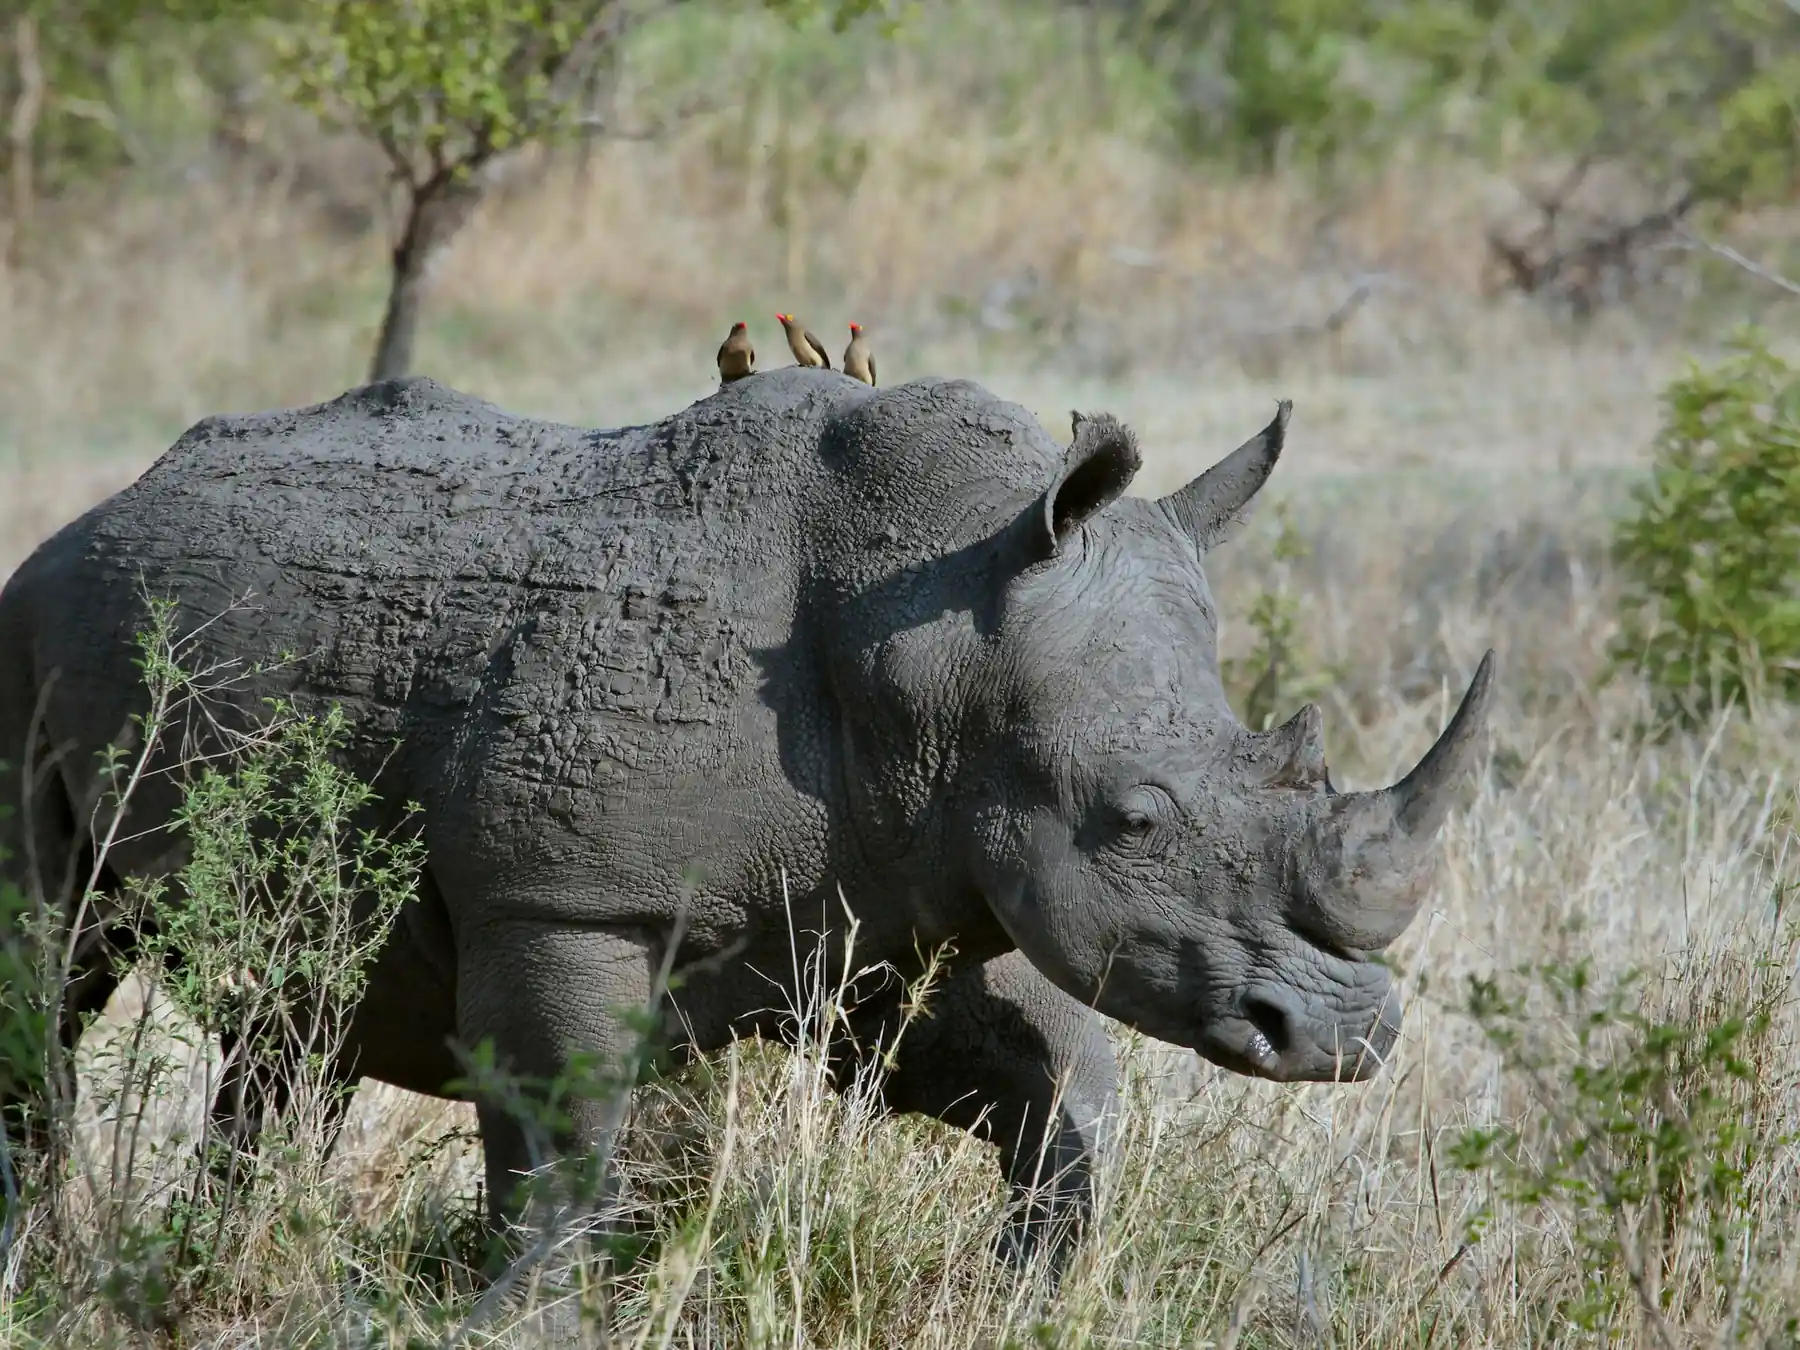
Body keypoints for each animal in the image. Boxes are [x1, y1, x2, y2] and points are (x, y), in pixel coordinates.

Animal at [0, 369, 1493, 1265]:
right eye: (1133, 816)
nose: (1345, 1037)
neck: (937, 642)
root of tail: (105, 504)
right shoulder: (566, 902)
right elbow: (562, 1149)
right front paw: (530, 1312)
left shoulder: (895, 889)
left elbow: (1055, 1088)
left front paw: (1023, 1284)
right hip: (30, 629)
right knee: (49, 966)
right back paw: (50, 1256)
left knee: (297, 1016)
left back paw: (208, 1257)